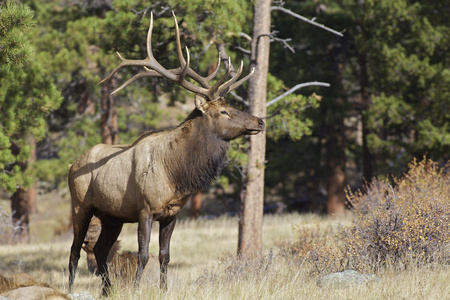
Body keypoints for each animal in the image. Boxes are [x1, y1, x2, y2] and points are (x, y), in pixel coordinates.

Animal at [67, 11, 264, 296]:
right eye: (224, 111)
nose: (259, 121)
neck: (177, 174)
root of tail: (72, 165)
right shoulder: (145, 209)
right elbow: (143, 254)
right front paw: (138, 289)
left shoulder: (172, 213)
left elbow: (164, 255)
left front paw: (164, 289)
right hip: (81, 205)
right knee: (74, 250)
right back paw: (71, 288)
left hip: (112, 216)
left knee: (102, 250)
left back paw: (108, 290)